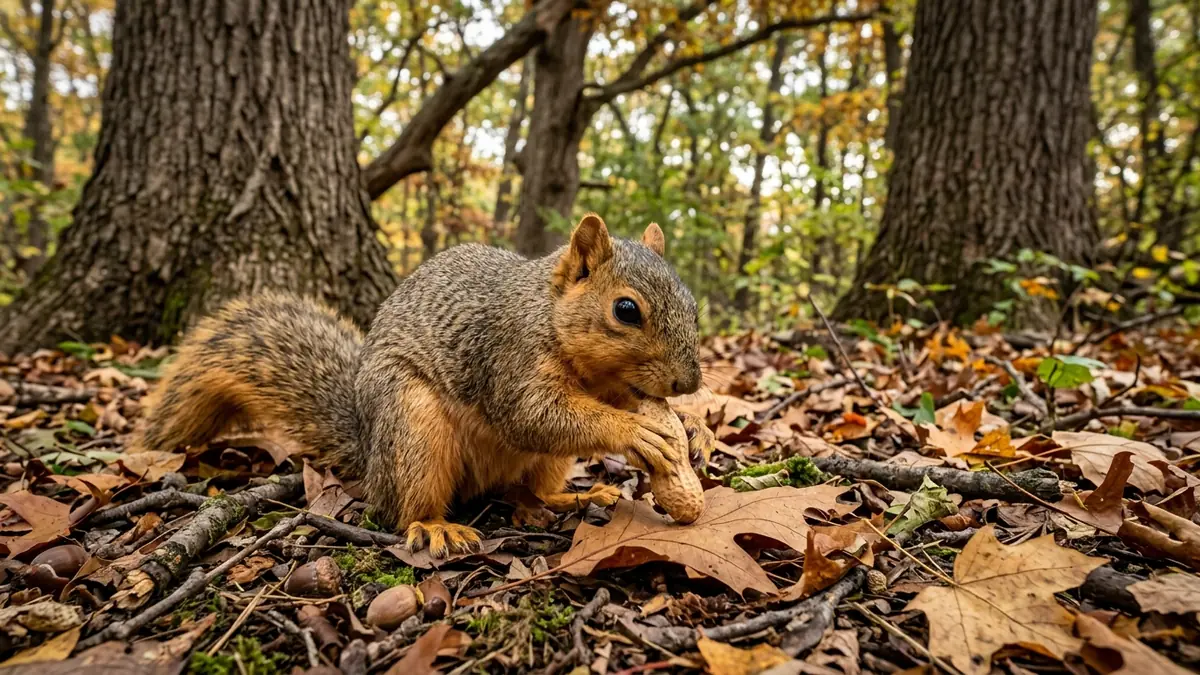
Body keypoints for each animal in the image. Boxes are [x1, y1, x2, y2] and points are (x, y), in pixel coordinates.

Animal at [132, 214, 713, 557]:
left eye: (692, 303)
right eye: (626, 310)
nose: (688, 381)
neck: (547, 314)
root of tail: (368, 451)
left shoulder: (613, 384)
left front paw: (695, 428)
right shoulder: (508, 359)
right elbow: (536, 415)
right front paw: (638, 432)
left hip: (528, 462)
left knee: (534, 485)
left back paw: (572, 496)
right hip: (412, 425)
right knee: (404, 509)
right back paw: (436, 527)